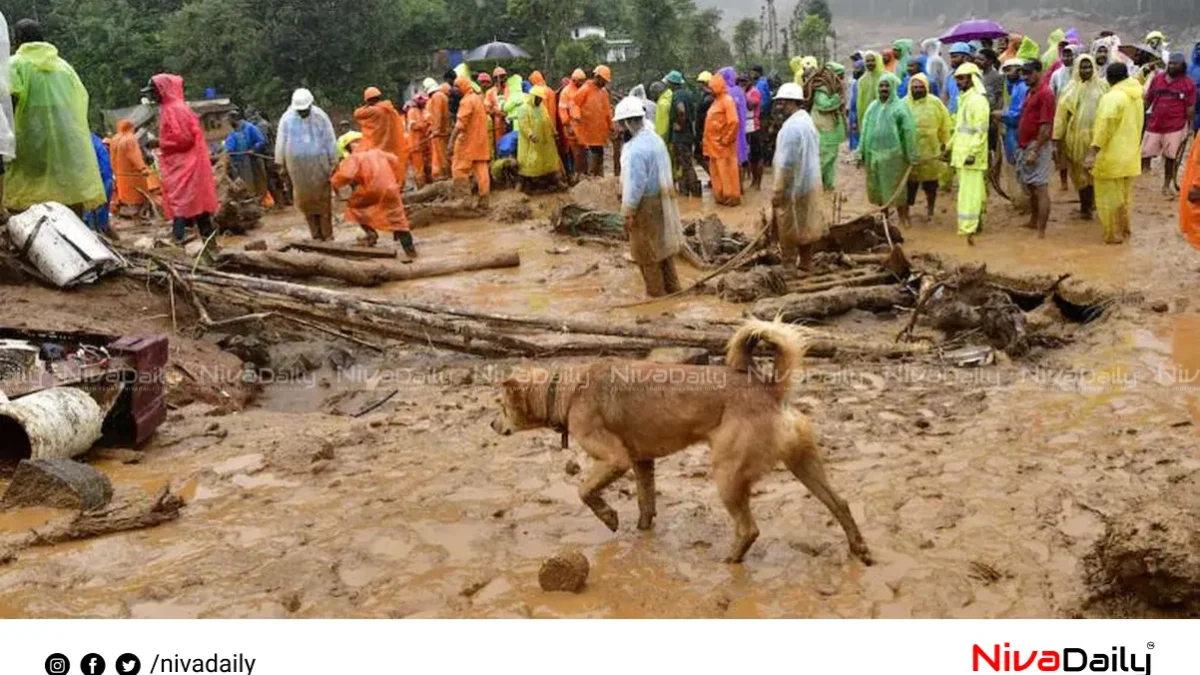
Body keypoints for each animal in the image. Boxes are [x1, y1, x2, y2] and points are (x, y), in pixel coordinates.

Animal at [489, 319, 873, 562]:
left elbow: (584, 490)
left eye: (500, 406)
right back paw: (859, 548)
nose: (492, 425)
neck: (564, 391)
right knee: (840, 503)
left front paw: (609, 517)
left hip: (727, 473)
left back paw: (730, 560)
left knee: (749, 529)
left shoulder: (615, 459)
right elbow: (646, 504)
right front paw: (641, 534)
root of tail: (770, 390)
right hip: (803, 463)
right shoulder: (642, 461)